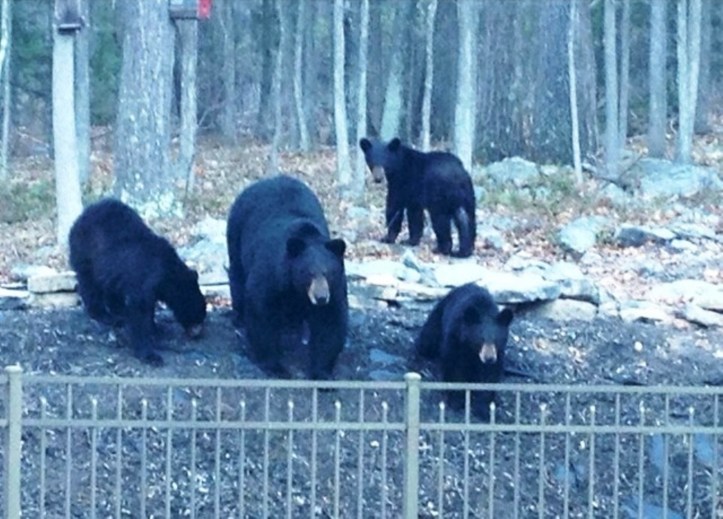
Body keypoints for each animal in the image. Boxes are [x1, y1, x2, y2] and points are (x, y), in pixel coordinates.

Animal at [68, 198, 207, 366]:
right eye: (199, 312)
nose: (199, 332)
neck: (167, 273)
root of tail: (81, 217)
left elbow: (148, 308)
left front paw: (156, 329)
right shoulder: (144, 279)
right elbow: (139, 310)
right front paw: (150, 354)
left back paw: (118, 312)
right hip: (86, 252)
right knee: (89, 284)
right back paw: (103, 315)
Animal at [226, 175, 348, 380]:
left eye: (328, 272)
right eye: (309, 273)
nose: (321, 298)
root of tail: (266, 180)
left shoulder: (336, 287)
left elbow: (329, 321)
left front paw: (321, 372)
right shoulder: (270, 276)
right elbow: (261, 312)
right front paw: (275, 366)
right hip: (236, 230)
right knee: (237, 273)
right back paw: (239, 315)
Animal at [416, 283, 513, 420]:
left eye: (496, 340)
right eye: (481, 339)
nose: (489, 358)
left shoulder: (498, 354)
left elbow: (490, 375)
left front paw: (483, 409)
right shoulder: (455, 338)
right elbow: (454, 367)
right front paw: (456, 402)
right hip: (437, 319)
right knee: (427, 340)